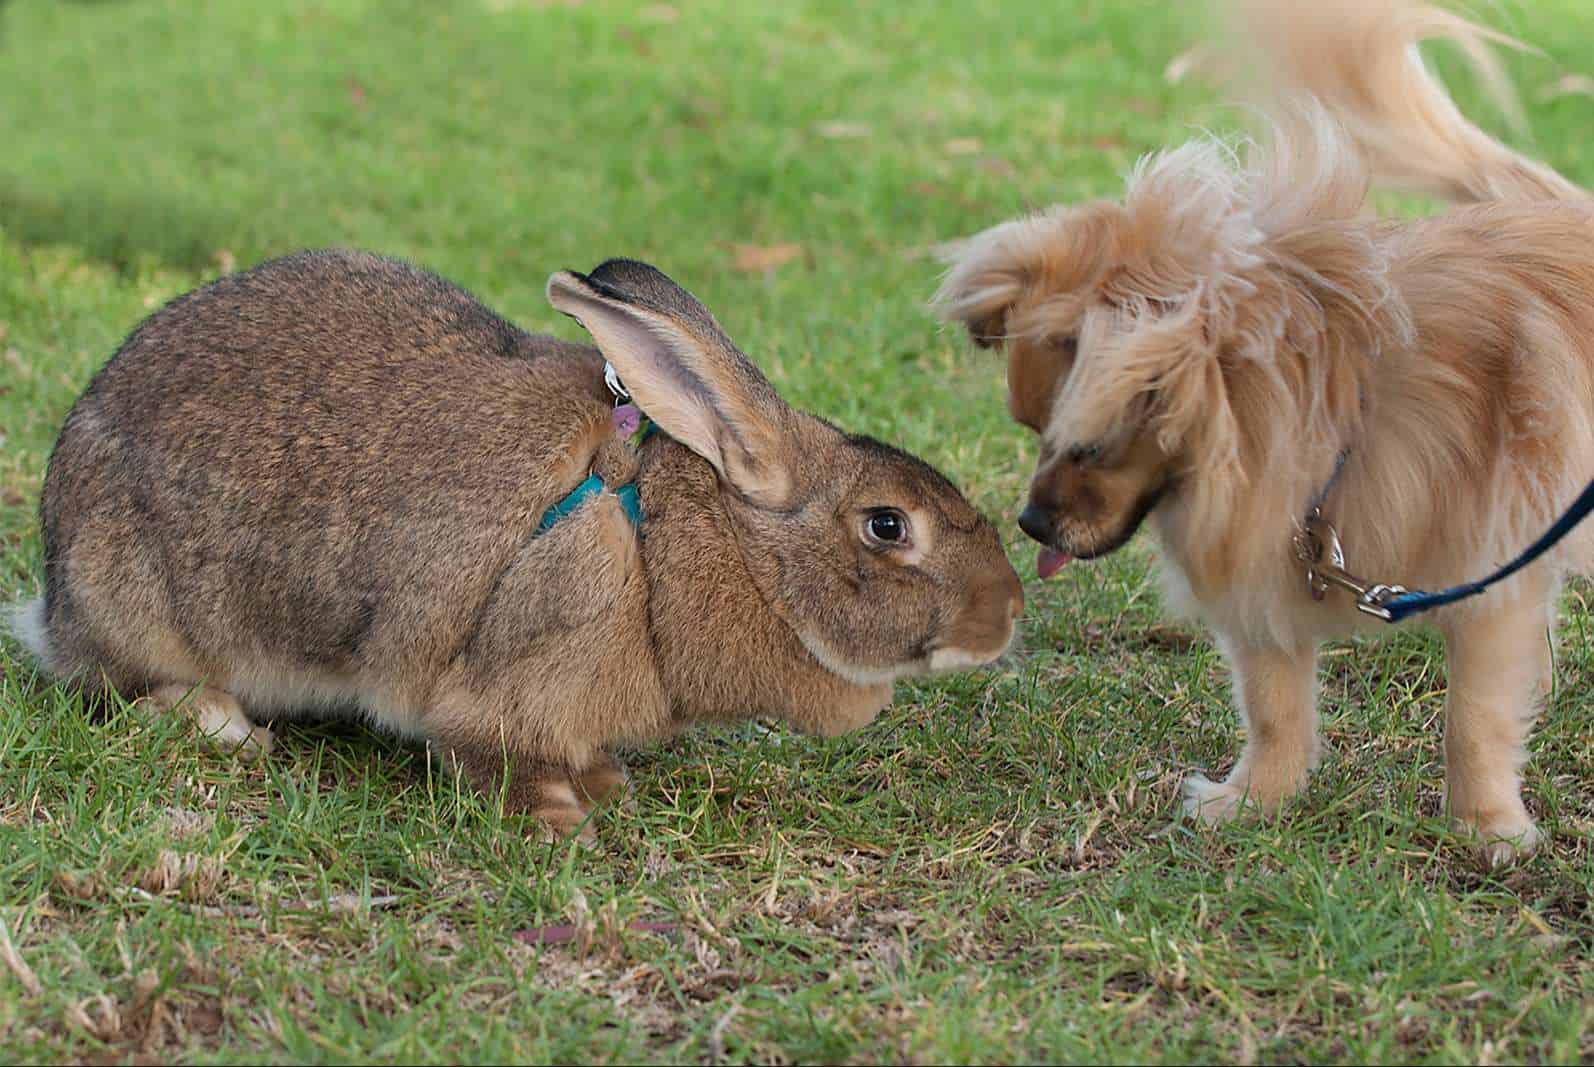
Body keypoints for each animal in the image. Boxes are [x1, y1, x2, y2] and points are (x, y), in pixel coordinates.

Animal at [12, 251, 1026, 842]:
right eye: (887, 525)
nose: (1010, 613)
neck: (669, 541)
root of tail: (53, 597)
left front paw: (605, 780)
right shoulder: (521, 665)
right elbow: (487, 751)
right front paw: (561, 817)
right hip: (140, 602)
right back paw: (220, 721)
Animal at [930, 0, 1594, 861]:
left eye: (1089, 445)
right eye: (1032, 429)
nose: (1030, 521)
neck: (1341, 411)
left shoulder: (1493, 579)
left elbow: (1472, 720)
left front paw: (1486, 826)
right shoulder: (1266, 571)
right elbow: (1275, 705)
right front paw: (1255, 802)